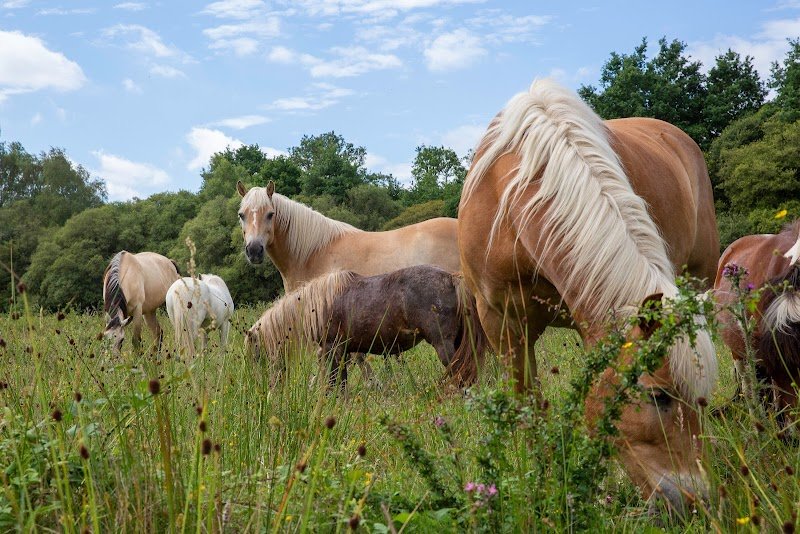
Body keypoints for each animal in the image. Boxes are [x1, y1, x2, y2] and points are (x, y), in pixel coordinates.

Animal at [246, 265, 487, 388]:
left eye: (256, 355)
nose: (264, 388)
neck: (317, 304)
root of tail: (452, 279)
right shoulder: (343, 352)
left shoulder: (333, 350)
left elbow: (335, 383)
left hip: (443, 344)